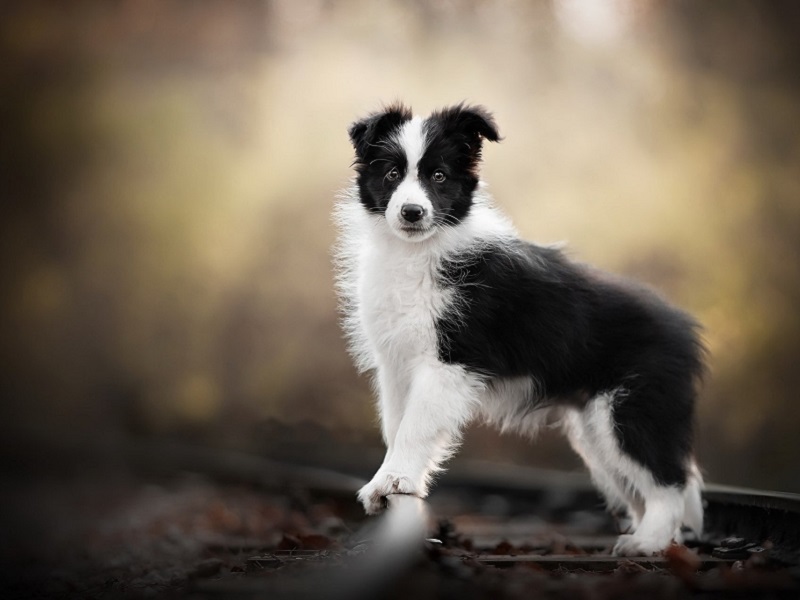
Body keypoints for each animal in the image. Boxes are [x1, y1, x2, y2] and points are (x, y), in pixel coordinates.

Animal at [334, 102, 704, 552]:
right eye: (390, 173)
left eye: (438, 175)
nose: (412, 212)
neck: (415, 251)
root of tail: (684, 330)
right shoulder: (396, 365)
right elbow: (397, 424)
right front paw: (392, 486)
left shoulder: (449, 362)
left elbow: (415, 428)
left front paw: (392, 481)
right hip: (596, 429)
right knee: (641, 486)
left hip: (632, 409)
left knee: (668, 481)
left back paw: (647, 544)